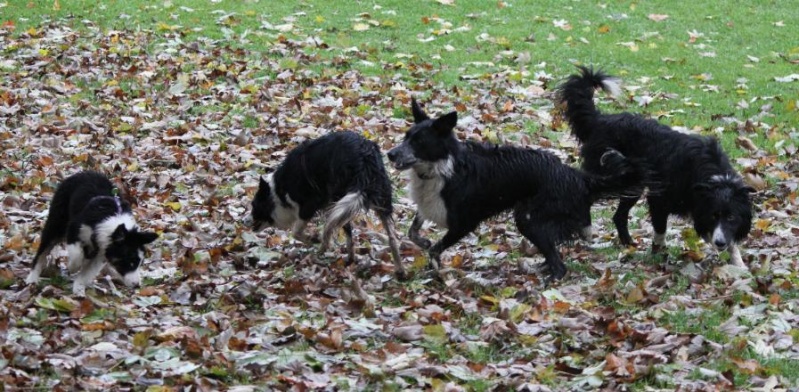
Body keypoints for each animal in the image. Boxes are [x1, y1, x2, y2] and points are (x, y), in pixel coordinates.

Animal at [26, 170, 159, 296]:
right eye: (130, 262)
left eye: (140, 263)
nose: (137, 286)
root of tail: (84, 172)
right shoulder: (74, 229)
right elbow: (76, 255)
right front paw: (72, 267)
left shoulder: (101, 253)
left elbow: (87, 272)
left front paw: (79, 289)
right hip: (57, 224)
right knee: (42, 252)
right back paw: (32, 279)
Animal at [556, 66, 756, 266]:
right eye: (713, 215)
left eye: (731, 217)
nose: (719, 243)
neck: (711, 175)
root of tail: (600, 120)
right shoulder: (660, 198)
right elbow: (660, 229)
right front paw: (659, 254)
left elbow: (732, 243)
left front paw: (739, 265)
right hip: (607, 174)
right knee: (586, 195)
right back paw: (588, 231)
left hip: (632, 182)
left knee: (619, 216)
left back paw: (628, 244)